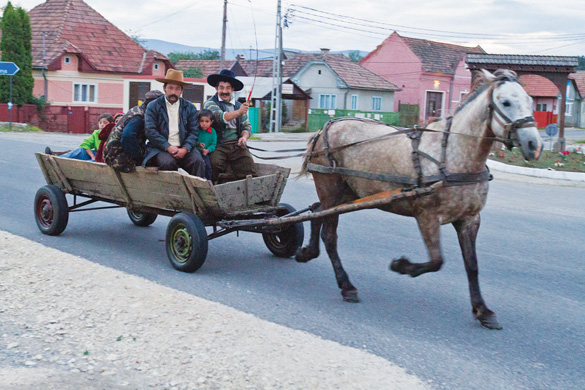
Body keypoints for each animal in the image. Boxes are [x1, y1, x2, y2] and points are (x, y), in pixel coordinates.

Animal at [296, 69, 544, 330]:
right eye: (505, 102)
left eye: (530, 101)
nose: (534, 145)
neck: (451, 156)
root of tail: (323, 130)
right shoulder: (427, 217)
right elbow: (437, 261)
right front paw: (402, 266)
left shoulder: (470, 219)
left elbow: (472, 265)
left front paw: (483, 310)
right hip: (330, 189)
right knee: (329, 235)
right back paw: (346, 285)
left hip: (349, 193)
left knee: (316, 212)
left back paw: (308, 252)